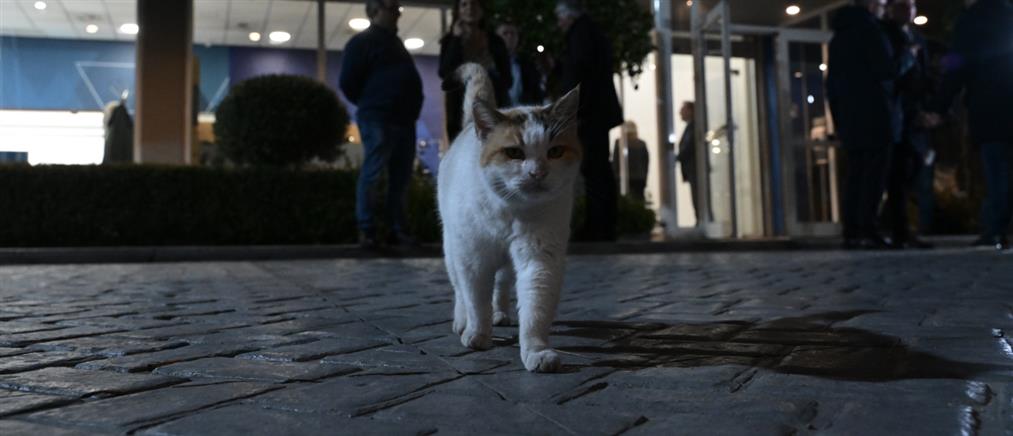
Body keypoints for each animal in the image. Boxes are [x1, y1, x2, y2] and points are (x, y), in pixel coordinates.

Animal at [437, 63, 587, 373]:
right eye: (514, 153)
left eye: (555, 151)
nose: (537, 172)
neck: (510, 212)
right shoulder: (472, 257)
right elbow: (475, 300)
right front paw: (477, 335)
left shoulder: (540, 257)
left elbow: (535, 310)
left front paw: (536, 352)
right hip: (451, 248)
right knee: (459, 289)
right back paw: (462, 321)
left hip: (505, 264)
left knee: (502, 285)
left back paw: (501, 314)